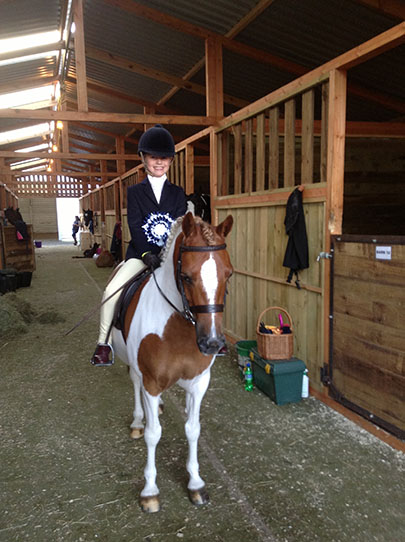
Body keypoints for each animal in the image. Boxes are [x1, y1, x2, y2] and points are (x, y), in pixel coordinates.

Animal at [111, 212, 234, 516]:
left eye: (229, 274)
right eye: (187, 277)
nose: (212, 343)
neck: (177, 324)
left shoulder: (199, 383)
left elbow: (193, 429)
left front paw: (196, 483)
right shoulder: (152, 382)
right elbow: (153, 434)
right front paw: (149, 491)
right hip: (135, 367)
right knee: (135, 386)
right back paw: (138, 420)